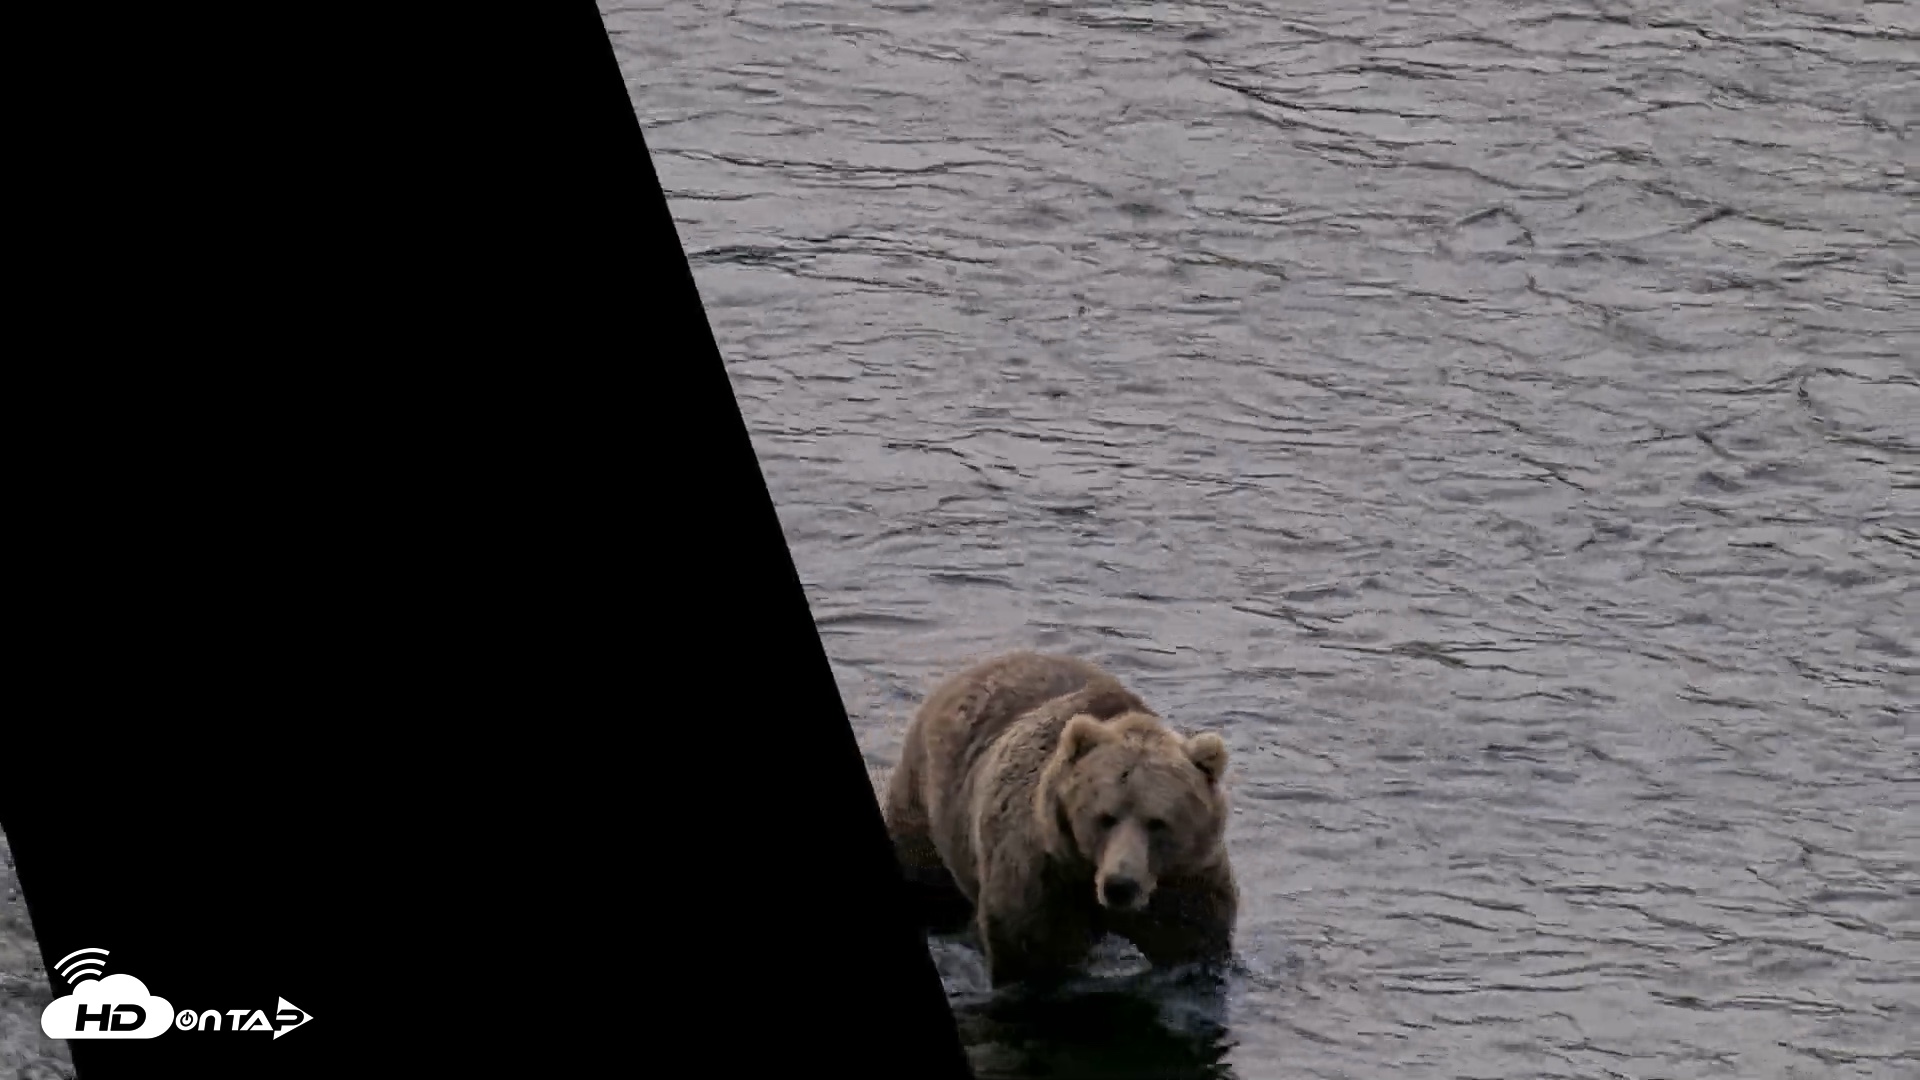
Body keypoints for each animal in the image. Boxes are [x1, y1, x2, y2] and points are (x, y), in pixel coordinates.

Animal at [882, 651, 1237, 989]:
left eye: (1157, 822)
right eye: (1105, 817)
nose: (1120, 886)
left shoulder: (1184, 879)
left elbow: (1191, 939)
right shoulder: (1040, 877)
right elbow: (1032, 952)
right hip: (926, 805)